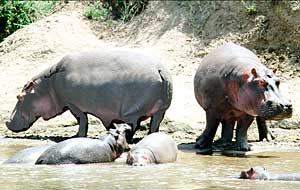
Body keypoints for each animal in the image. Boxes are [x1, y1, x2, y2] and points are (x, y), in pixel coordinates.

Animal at [5, 48, 172, 140]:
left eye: (19, 97)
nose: (7, 121)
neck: (48, 84)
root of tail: (160, 70)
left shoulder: (72, 104)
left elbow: (82, 120)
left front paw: (76, 136)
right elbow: (104, 122)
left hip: (132, 111)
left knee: (134, 125)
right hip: (161, 110)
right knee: (154, 126)